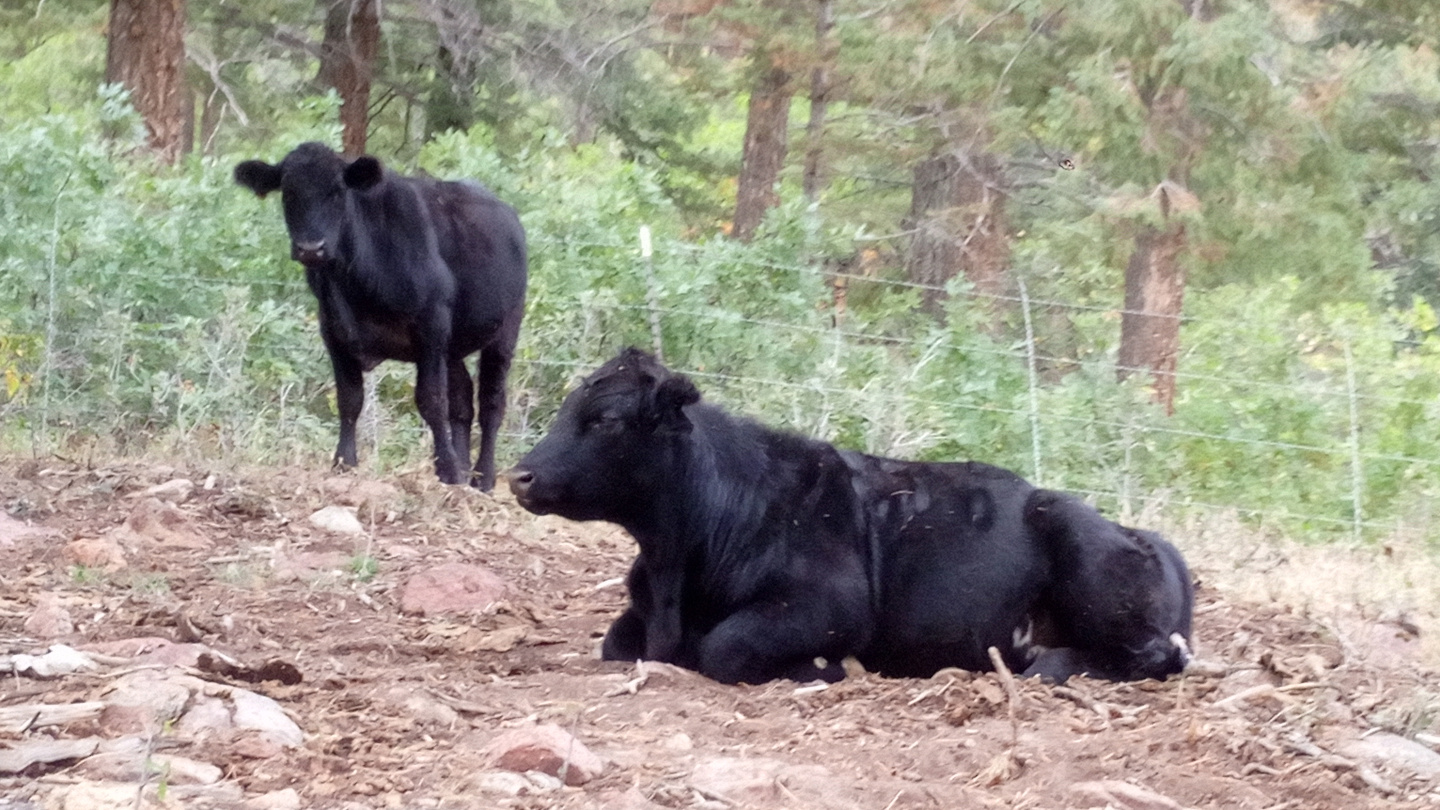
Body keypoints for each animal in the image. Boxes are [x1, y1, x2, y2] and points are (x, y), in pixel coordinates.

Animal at [233, 141, 527, 490]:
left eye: (338, 191)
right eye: (288, 193)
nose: (310, 248)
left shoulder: (432, 326)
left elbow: (431, 400)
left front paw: (448, 470)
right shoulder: (334, 332)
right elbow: (350, 399)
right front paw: (344, 462)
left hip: (505, 330)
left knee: (492, 404)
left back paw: (483, 477)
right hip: (453, 348)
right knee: (462, 403)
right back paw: (465, 468)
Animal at [506, 347, 1192, 680]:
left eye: (607, 420)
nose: (520, 474)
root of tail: (1140, 534)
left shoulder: (830, 605)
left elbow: (727, 647)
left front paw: (825, 667)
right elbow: (617, 644)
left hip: (1088, 563)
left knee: (1158, 656)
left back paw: (1048, 666)